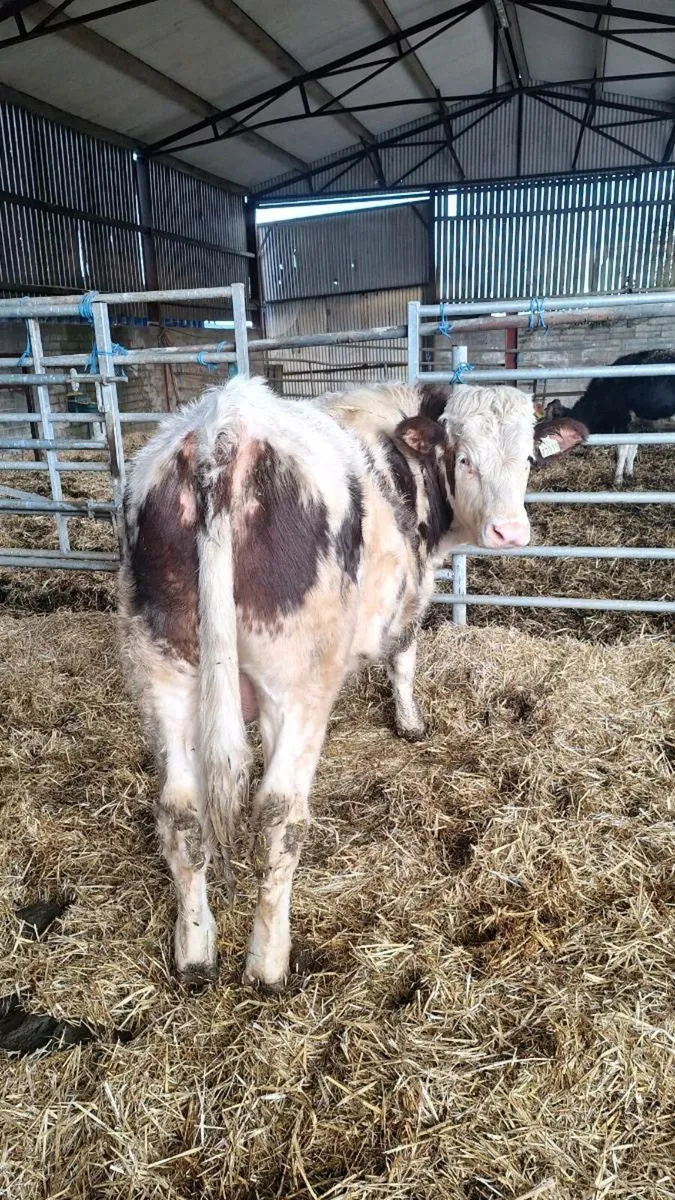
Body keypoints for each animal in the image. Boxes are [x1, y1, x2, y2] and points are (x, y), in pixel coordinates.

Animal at [118, 376, 586, 991]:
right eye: (463, 457)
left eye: (528, 458)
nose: (509, 531)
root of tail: (225, 429)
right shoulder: (410, 596)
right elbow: (403, 658)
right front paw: (410, 724)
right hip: (297, 680)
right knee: (280, 816)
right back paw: (268, 962)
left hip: (166, 671)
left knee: (181, 813)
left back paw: (196, 952)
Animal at [545, 348, 675, 486]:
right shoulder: (635, 426)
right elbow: (632, 450)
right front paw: (629, 474)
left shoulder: (622, 421)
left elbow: (622, 451)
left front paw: (617, 480)